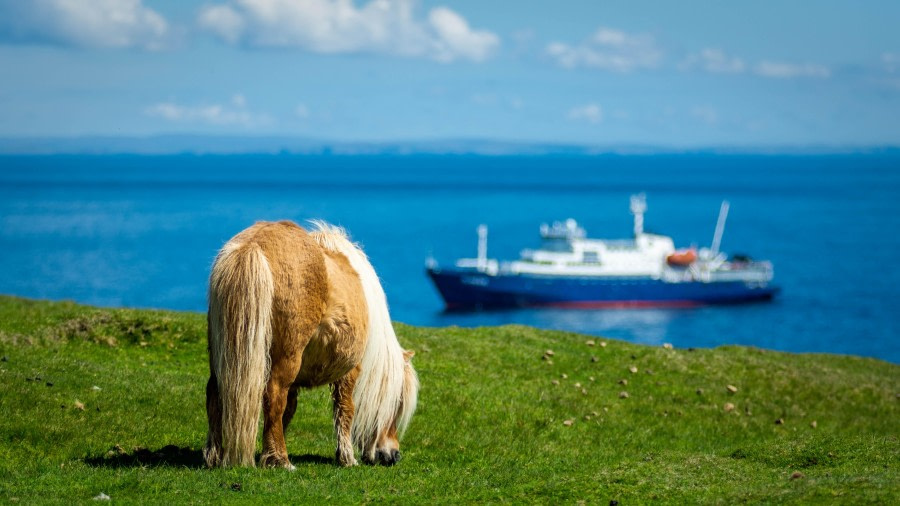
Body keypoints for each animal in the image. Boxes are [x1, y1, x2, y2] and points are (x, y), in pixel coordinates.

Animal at [204, 219, 418, 468]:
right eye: (398, 403)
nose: (393, 455)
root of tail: (253, 245)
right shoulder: (350, 370)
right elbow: (345, 409)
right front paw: (347, 458)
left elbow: (289, 410)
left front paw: (267, 451)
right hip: (286, 359)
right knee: (274, 396)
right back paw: (282, 460)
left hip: (223, 354)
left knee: (215, 391)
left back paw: (214, 455)